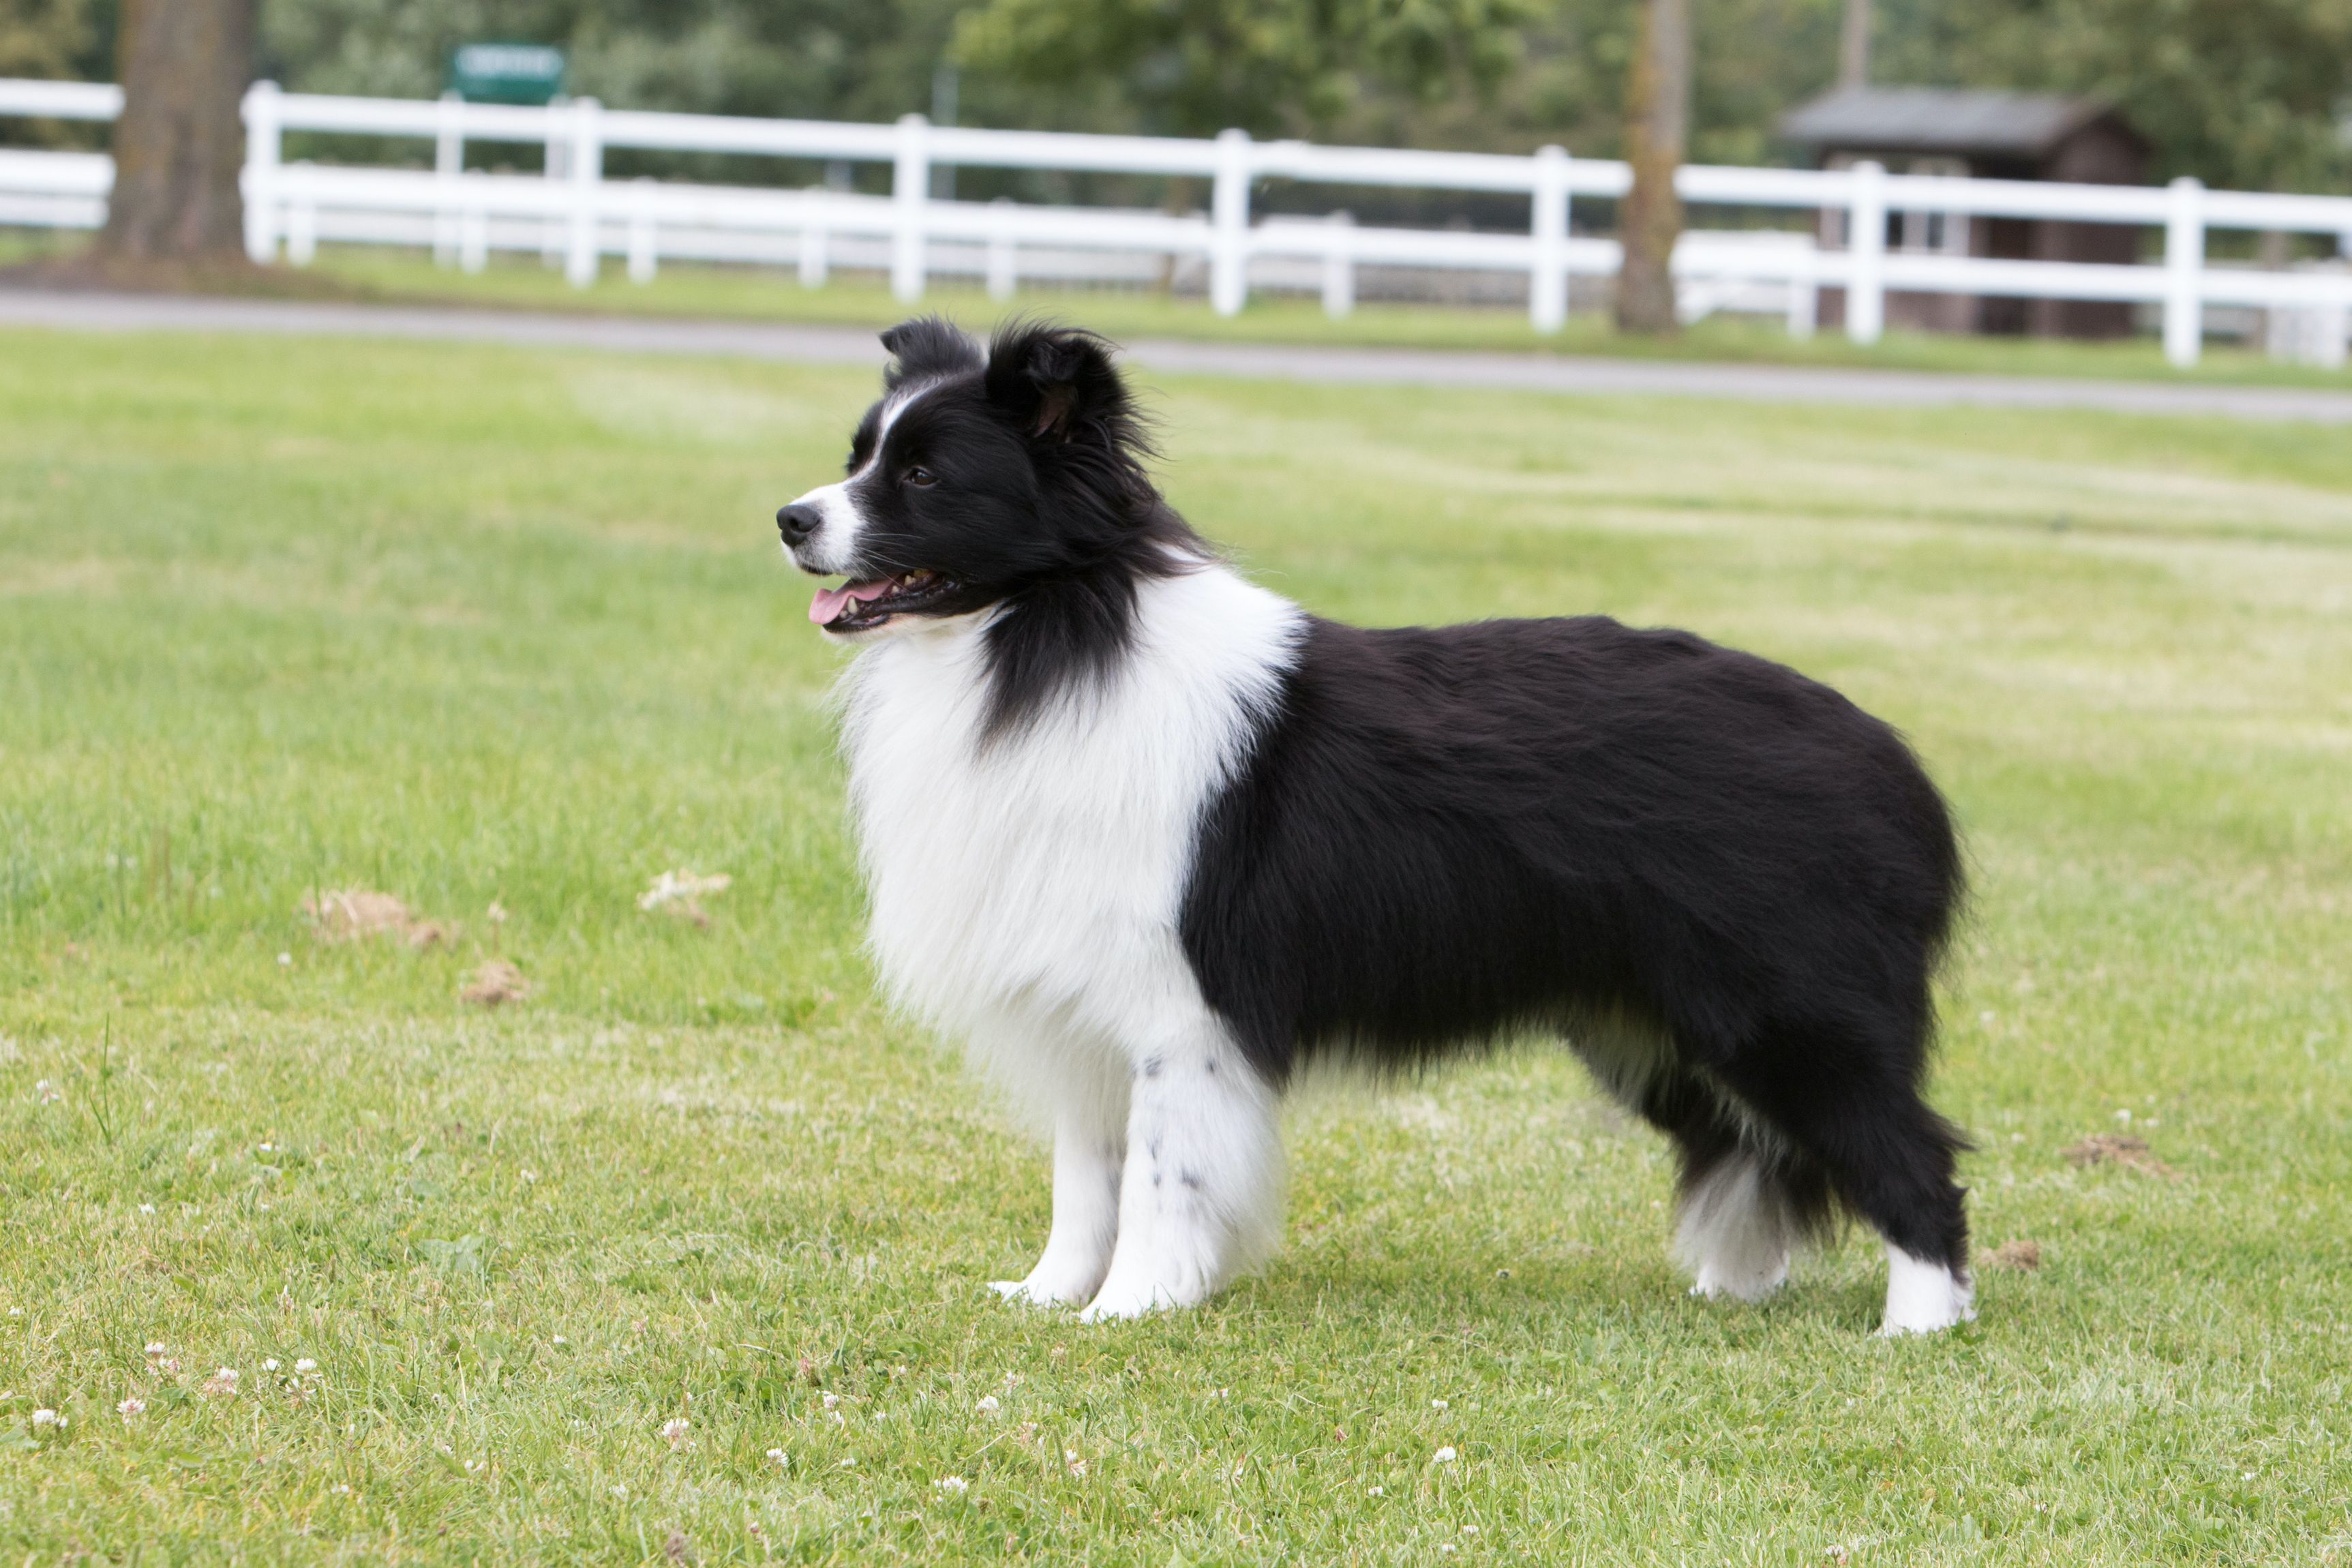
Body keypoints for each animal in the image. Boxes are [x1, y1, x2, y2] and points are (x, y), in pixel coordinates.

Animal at [781, 319, 1976, 1335]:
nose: (791, 519)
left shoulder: (1177, 1015)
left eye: (924, 476)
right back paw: (1733, 1293)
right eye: (859, 456)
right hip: (1653, 1028)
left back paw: (1917, 1326)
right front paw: (1049, 1295)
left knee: (1911, 1156)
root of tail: (1889, 760)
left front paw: (1133, 1307)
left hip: (1787, 1014)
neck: (1047, 635)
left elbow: (1164, 1176)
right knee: (1755, 1148)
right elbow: (1087, 1179)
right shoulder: (1079, 1007)